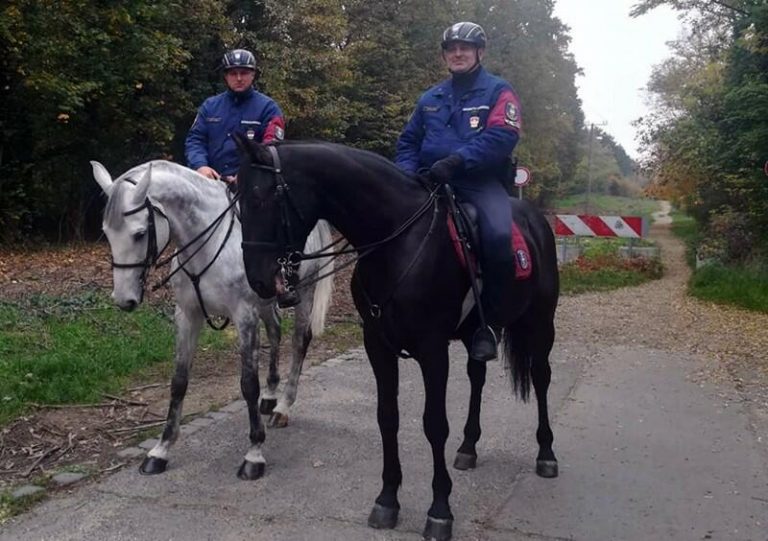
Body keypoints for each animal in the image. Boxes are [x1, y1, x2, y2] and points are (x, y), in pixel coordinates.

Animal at [92, 159, 332, 476]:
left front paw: (254, 453)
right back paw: (270, 397)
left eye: (140, 233)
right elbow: (179, 381)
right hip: (266, 303)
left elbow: (248, 384)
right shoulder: (187, 316)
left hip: (304, 293)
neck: (207, 244)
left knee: (299, 342)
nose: (123, 299)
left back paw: (282, 407)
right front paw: (161, 449)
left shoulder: (244, 316)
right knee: (276, 332)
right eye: (107, 232)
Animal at [234, 138, 560, 540]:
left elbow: (434, 424)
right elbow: (387, 418)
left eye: (261, 198)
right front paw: (387, 500)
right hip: (475, 335)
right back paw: (469, 446)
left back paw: (546, 454)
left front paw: (440, 510)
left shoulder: (433, 349)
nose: (259, 280)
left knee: (541, 378)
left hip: (541, 324)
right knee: (477, 378)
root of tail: (535, 218)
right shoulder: (378, 345)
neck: (397, 241)